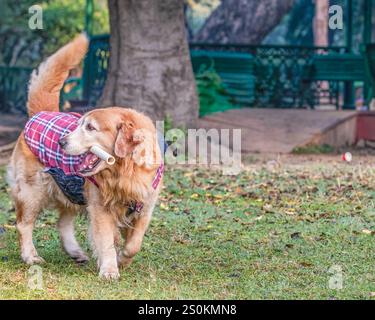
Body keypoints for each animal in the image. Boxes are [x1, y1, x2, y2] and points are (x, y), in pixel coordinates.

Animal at [6, 33, 164, 278]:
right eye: (80, 124)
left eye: (90, 127)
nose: (61, 142)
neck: (124, 171)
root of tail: (42, 112)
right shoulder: (100, 209)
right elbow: (107, 241)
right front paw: (110, 269)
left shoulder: (145, 206)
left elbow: (134, 243)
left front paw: (123, 259)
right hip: (33, 190)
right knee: (24, 224)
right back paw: (31, 256)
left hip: (70, 191)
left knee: (63, 223)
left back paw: (75, 252)